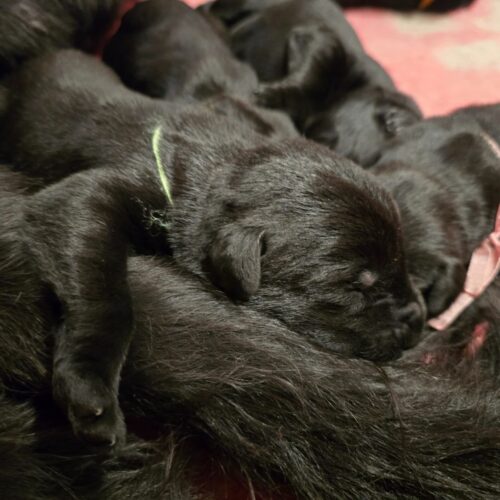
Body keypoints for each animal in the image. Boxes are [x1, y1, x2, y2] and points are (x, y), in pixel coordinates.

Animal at [0, 49, 424, 446]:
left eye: (402, 258)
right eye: (356, 286)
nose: (418, 319)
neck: (220, 164)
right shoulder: (84, 198)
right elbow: (104, 292)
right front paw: (91, 389)